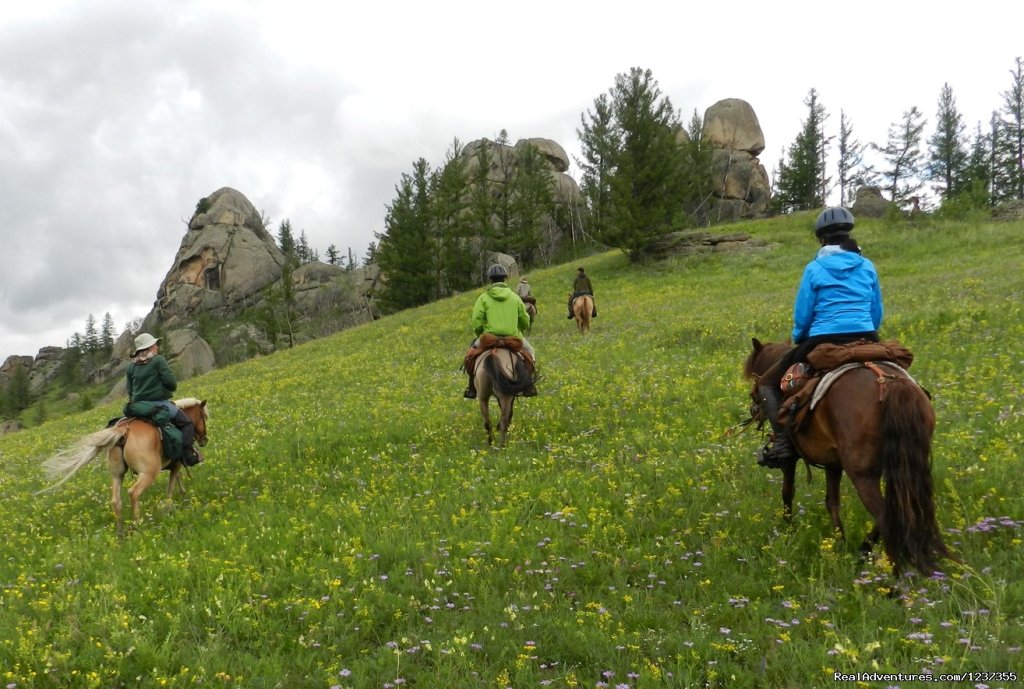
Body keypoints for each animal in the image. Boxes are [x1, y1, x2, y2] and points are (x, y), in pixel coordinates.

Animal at [40, 397, 207, 532]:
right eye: (204, 416)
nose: (204, 440)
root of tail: (123, 430)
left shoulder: (174, 463)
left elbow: (176, 478)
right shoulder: (177, 462)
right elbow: (172, 486)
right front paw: (173, 504)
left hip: (117, 474)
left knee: (115, 500)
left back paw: (120, 531)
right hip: (148, 473)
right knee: (133, 492)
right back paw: (138, 523)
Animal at [745, 337, 950, 573]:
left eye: (754, 388)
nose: (753, 410)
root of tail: (892, 385)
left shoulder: (792, 458)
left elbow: (788, 492)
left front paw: (788, 530)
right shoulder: (833, 463)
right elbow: (832, 502)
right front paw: (839, 542)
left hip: (863, 474)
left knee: (887, 517)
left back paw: (893, 579)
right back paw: (865, 550)